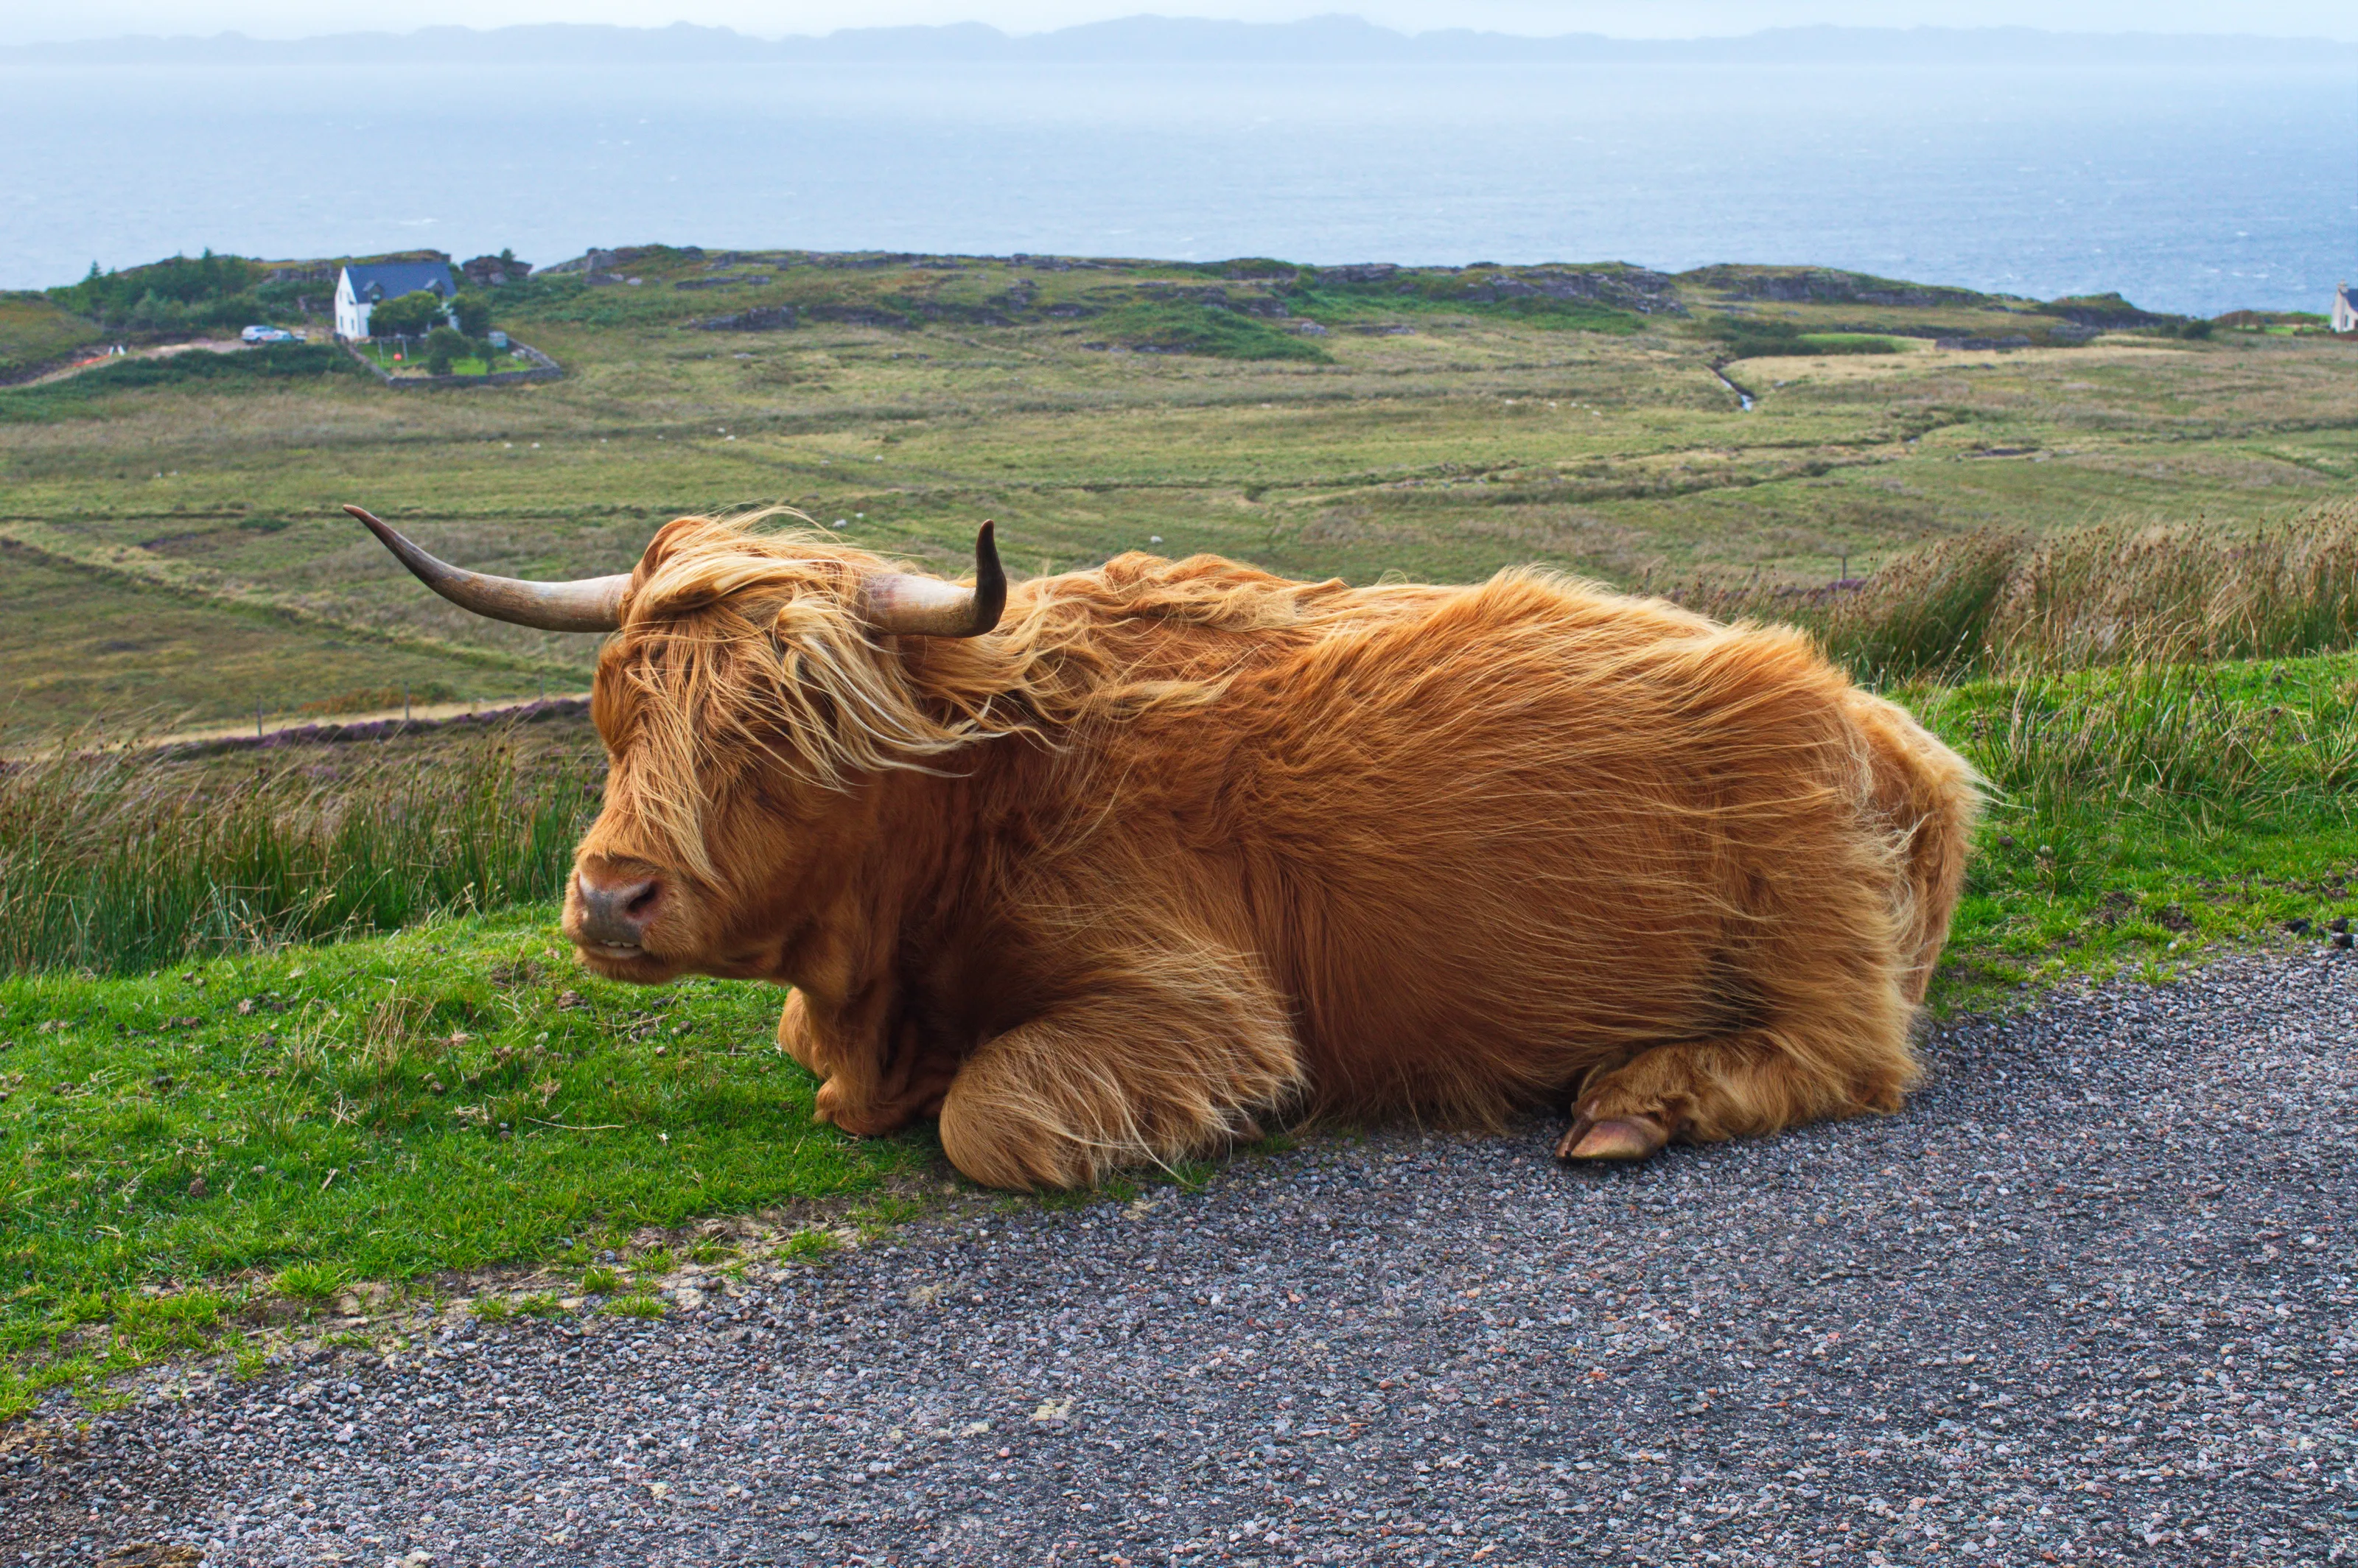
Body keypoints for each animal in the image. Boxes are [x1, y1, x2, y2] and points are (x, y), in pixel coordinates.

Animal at [347, 505, 1978, 1190]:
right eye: (613, 713)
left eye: (786, 734)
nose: (609, 896)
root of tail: (1877, 713)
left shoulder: (1199, 999)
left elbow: (992, 1117)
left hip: (1808, 917)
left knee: (1850, 1055)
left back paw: (1637, 1100)